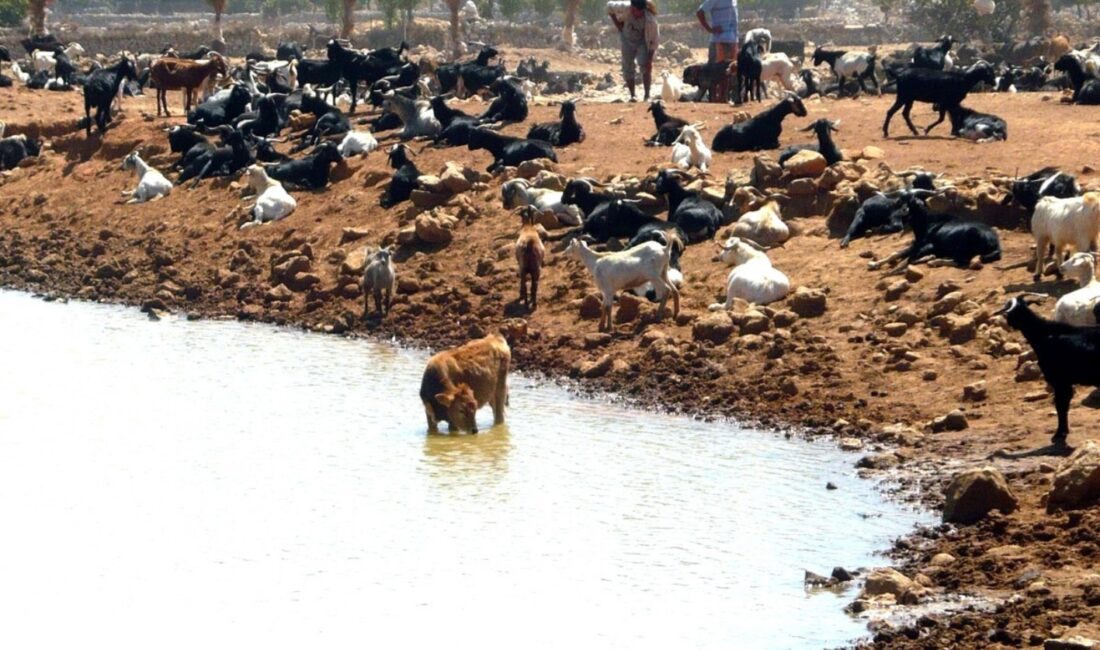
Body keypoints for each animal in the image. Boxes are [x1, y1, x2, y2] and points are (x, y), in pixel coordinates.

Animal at [998, 296, 1100, 444]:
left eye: (1012, 311)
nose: (1009, 322)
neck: (1045, 334)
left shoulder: (1060, 382)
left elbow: (1061, 406)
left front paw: (1059, 434)